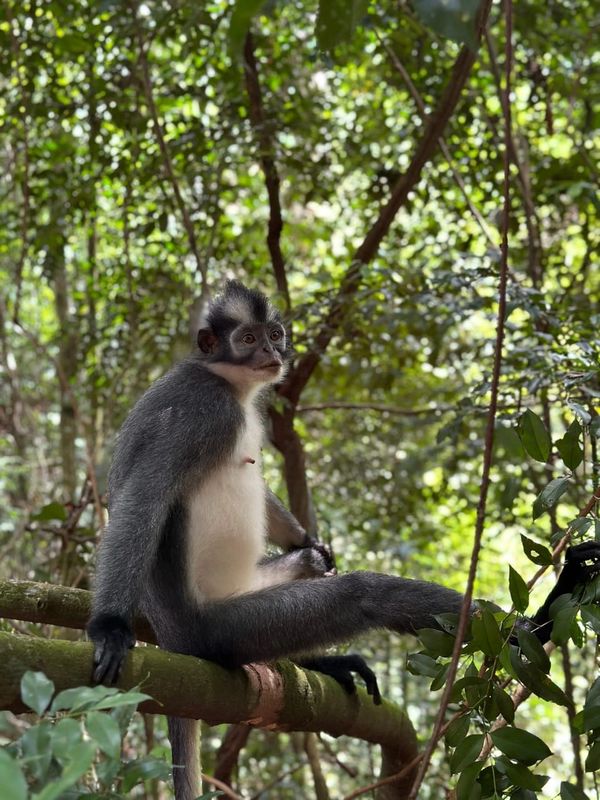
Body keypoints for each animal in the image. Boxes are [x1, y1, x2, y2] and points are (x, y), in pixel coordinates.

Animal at [87, 280, 600, 800]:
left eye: (274, 334)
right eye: (248, 339)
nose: (271, 352)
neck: (227, 381)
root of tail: (174, 640)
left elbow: (292, 529)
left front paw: (311, 541)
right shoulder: (199, 411)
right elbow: (145, 494)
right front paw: (109, 628)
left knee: (308, 567)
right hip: (217, 629)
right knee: (362, 596)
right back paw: (536, 625)